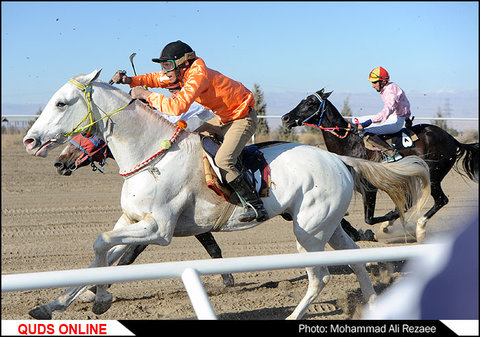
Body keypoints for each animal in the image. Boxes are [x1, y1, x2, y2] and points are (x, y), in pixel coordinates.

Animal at [22, 69, 430, 320]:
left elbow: (105, 245)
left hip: (309, 232)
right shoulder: (132, 219)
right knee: (357, 260)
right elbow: (103, 254)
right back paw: (375, 304)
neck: (150, 154)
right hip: (327, 226)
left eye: (61, 103)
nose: (31, 141)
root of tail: (338, 158)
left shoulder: (159, 230)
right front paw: (56, 303)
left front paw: (100, 297)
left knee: (320, 278)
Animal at [280, 89, 478, 242]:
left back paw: (419, 228)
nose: (285, 118)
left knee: (440, 200)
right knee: (411, 202)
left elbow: (369, 219)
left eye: (311, 102)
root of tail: (453, 140)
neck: (350, 144)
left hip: (433, 174)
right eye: (303, 100)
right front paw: (359, 233)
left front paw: (374, 229)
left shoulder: (369, 188)